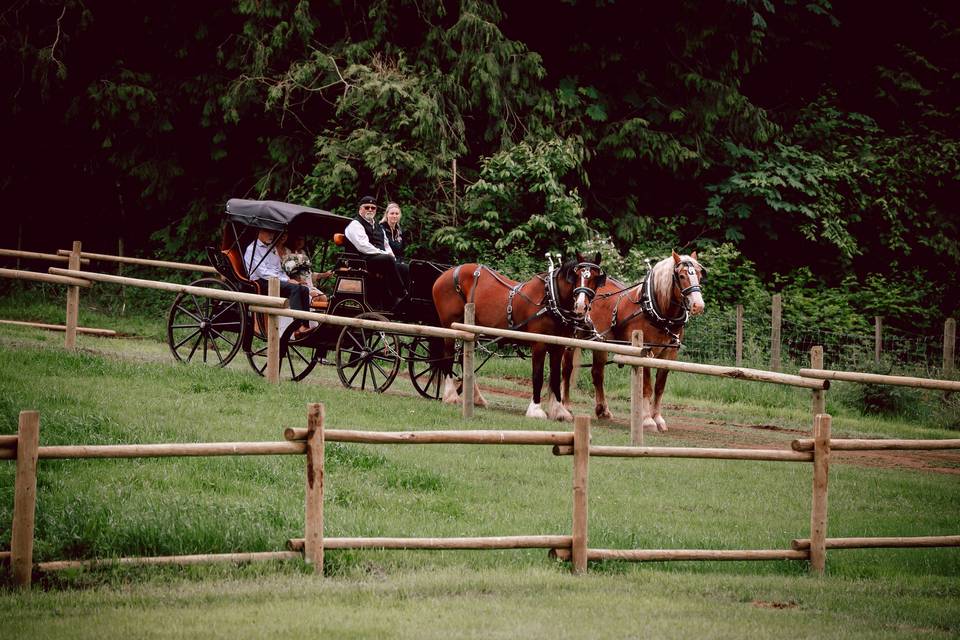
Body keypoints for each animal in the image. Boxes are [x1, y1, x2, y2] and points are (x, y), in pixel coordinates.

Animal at [436, 252, 608, 422]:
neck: (550, 298)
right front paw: (536, 410)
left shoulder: (558, 346)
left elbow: (555, 377)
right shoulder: (539, 344)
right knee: (448, 357)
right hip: (449, 327)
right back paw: (451, 396)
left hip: (471, 330)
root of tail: (447, 273)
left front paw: (559, 411)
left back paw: (476, 398)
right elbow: (538, 375)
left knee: (465, 358)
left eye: (595, 278)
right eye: (577, 275)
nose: (581, 306)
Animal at [564, 250, 704, 430]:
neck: (658, 312)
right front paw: (647, 420)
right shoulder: (645, 351)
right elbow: (646, 387)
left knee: (597, 374)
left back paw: (603, 411)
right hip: (572, 339)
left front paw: (658, 418)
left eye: (699, 274)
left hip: (601, 342)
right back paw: (566, 407)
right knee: (567, 369)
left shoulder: (670, 354)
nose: (698, 305)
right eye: (681, 276)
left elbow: (660, 387)